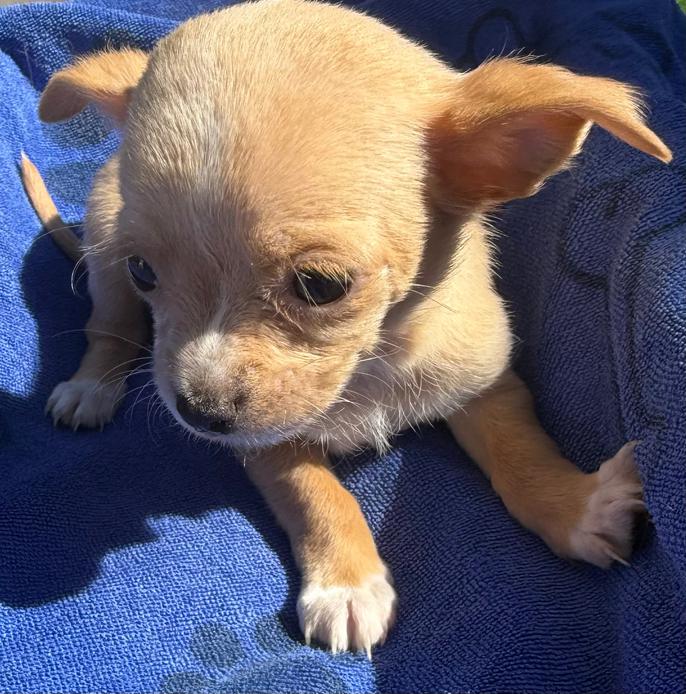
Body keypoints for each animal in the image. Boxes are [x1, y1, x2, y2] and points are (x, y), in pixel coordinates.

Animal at [22, 0, 671, 656]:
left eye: (321, 285)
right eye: (145, 270)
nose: (199, 414)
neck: (374, 361)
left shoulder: (484, 380)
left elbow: (520, 452)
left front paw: (578, 507)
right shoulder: (267, 440)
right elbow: (319, 494)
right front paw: (348, 585)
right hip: (103, 250)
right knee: (110, 329)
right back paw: (91, 387)